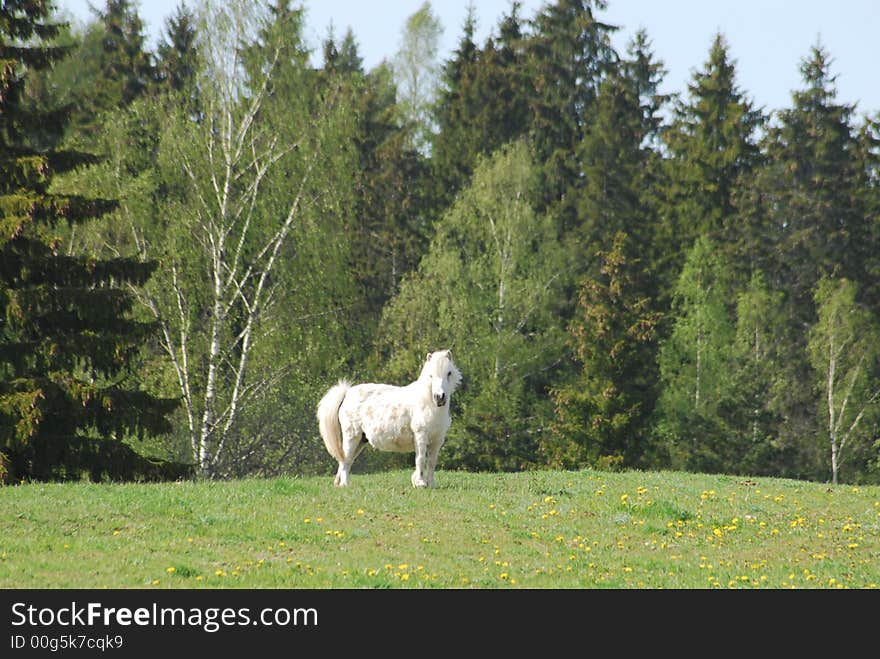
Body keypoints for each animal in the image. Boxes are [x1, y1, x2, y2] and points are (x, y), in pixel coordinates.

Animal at [320, 354, 464, 488]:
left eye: (449, 373)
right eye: (431, 375)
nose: (440, 397)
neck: (428, 403)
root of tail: (347, 393)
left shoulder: (437, 440)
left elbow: (432, 462)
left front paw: (431, 484)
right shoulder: (420, 436)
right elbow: (420, 459)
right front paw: (420, 483)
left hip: (361, 440)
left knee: (346, 460)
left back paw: (339, 483)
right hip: (352, 437)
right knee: (345, 460)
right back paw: (345, 484)